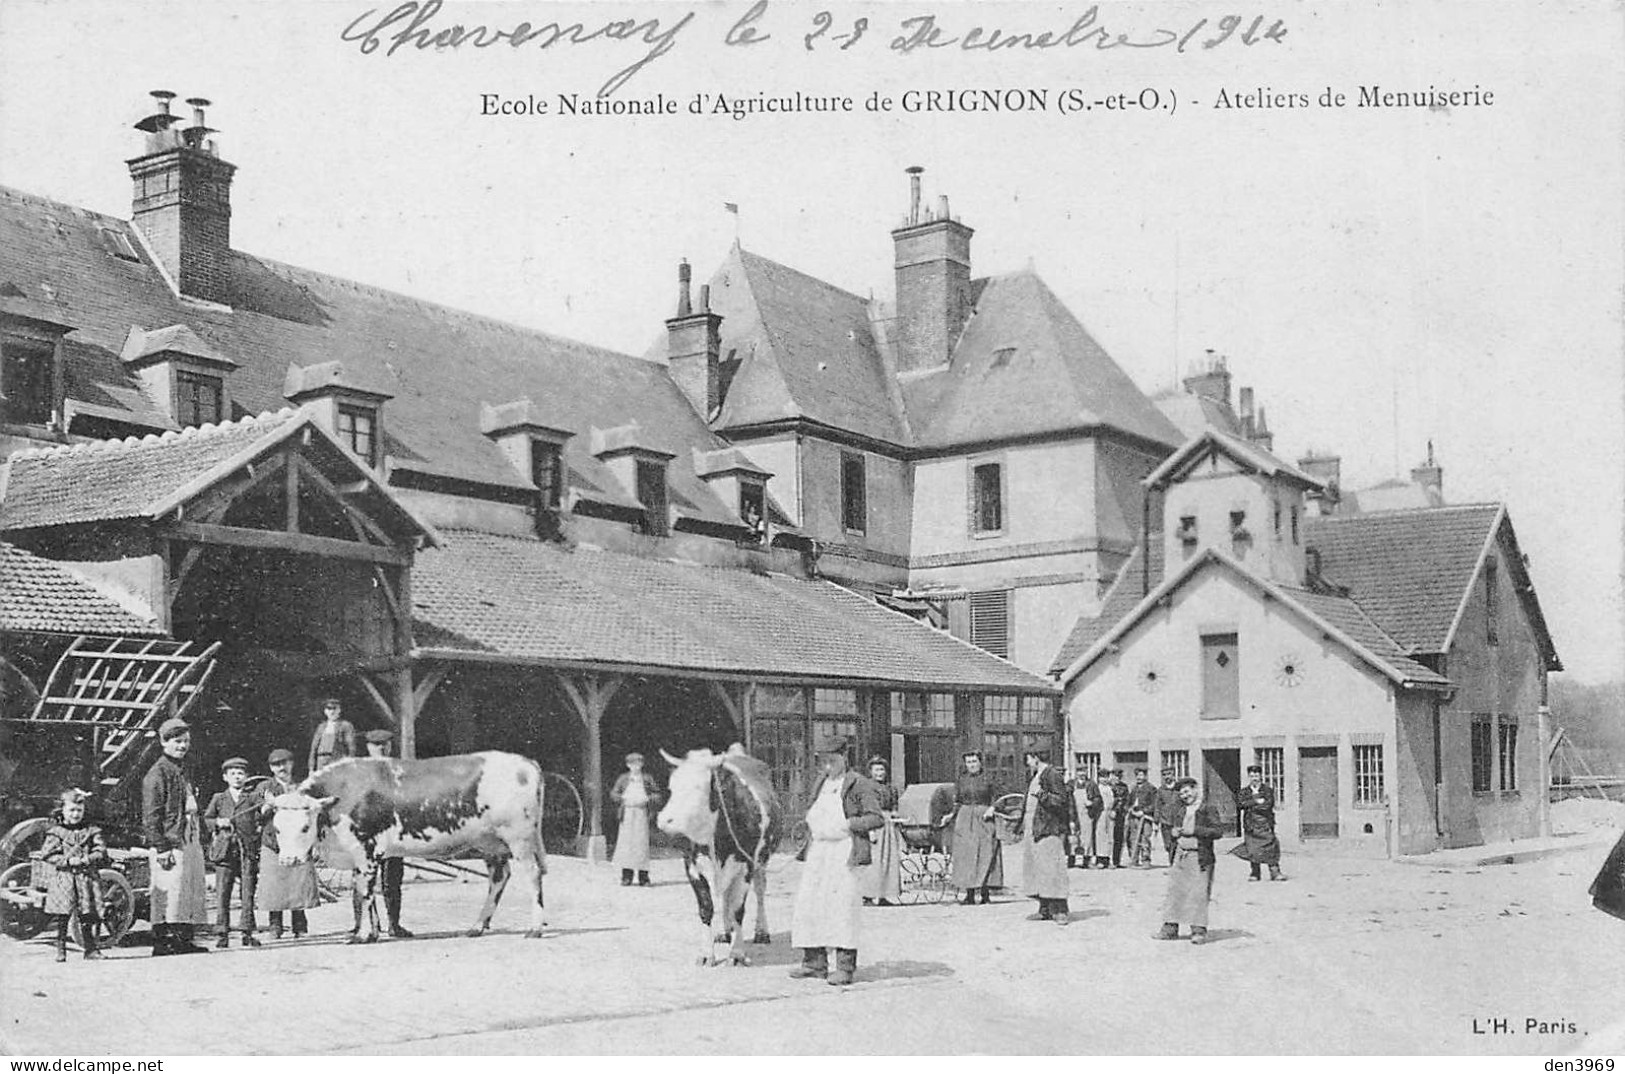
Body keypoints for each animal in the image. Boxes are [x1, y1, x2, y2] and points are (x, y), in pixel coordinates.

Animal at [268, 753, 546, 935]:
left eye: (305, 827)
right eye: (277, 828)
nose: (288, 860)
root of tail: (526, 763)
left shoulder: (366, 849)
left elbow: (365, 892)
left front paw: (363, 935)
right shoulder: (358, 855)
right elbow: (364, 892)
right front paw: (371, 932)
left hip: (519, 837)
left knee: (533, 874)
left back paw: (535, 928)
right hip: (490, 843)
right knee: (499, 878)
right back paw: (477, 926)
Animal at [653, 744, 780, 961]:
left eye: (697, 788)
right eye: (671, 787)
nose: (663, 819)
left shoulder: (745, 866)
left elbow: (738, 909)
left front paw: (737, 954)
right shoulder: (692, 866)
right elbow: (707, 908)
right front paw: (707, 954)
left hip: (761, 860)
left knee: (760, 892)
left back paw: (761, 932)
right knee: (724, 897)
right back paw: (725, 932)